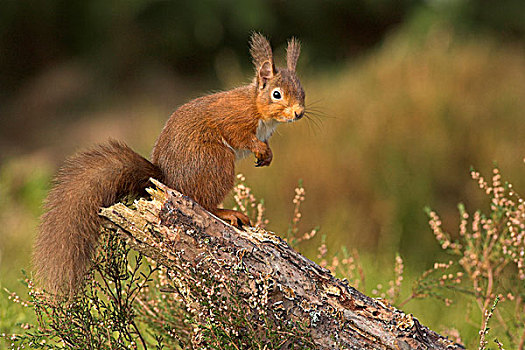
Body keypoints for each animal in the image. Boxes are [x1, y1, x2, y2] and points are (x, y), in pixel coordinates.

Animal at [33, 32, 302, 296]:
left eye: (302, 91)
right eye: (276, 94)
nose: (298, 113)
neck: (257, 107)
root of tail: (166, 179)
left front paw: (268, 155)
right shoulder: (234, 118)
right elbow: (240, 136)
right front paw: (260, 148)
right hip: (215, 162)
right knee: (203, 201)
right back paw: (226, 212)